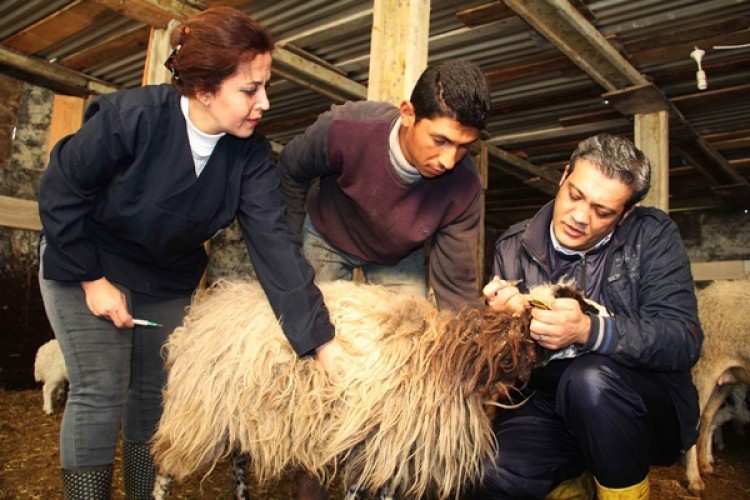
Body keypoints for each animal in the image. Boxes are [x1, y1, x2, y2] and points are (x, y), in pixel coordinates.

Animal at [150, 280, 544, 498]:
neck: (446, 351)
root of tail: (203, 312)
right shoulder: (379, 438)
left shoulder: (388, 444)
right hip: (197, 414)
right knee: (166, 466)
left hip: (241, 416)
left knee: (238, 462)